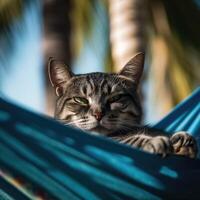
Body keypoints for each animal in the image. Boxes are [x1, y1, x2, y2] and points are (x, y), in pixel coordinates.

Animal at [47, 52, 198, 158]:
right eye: (80, 100)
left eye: (115, 98)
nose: (98, 114)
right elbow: (130, 140)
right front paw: (155, 141)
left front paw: (180, 140)